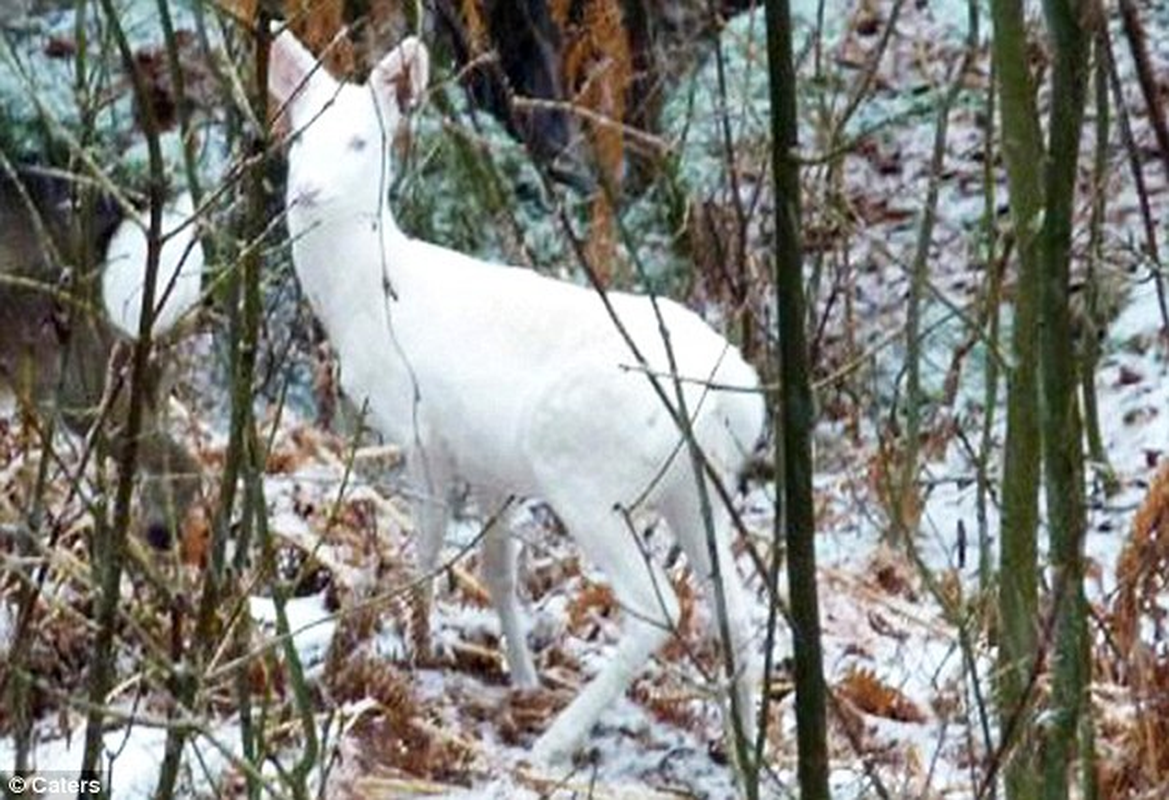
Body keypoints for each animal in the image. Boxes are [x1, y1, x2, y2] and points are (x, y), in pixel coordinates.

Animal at [270, 31, 771, 767]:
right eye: (299, 134)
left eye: (362, 140)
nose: (307, 191)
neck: (369, 295)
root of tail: (735, 398)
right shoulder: (491, 463)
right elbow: (497, 570)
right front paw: (521, 674)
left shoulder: (421, 428)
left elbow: (425, 549)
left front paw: (413, 649)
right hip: (699, 487)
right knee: (734, 608)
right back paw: (743, 753)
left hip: (586, 470)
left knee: (657, 606)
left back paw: (553, 744)